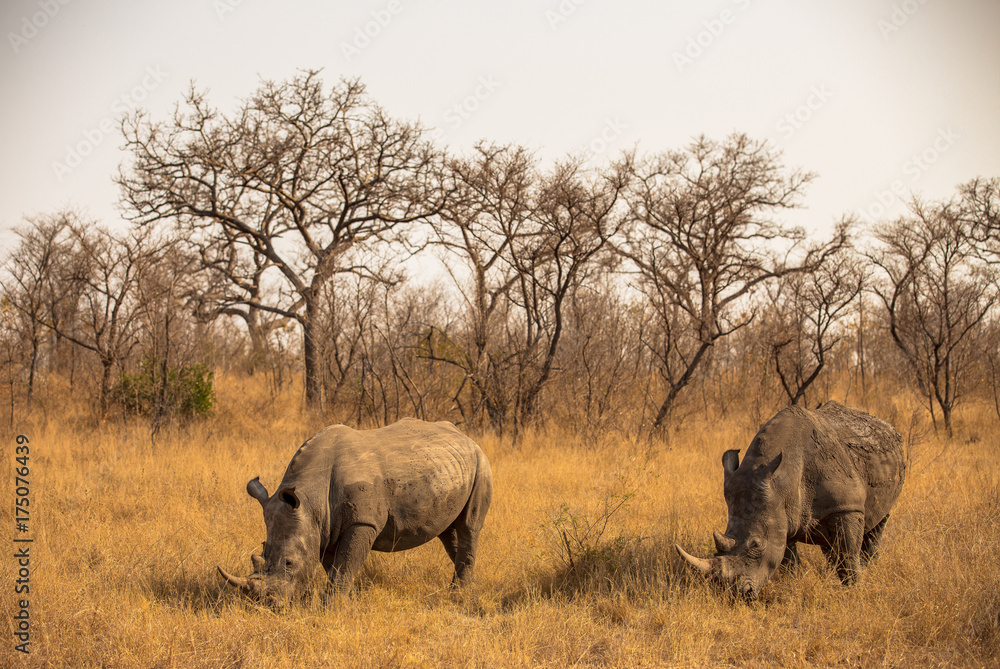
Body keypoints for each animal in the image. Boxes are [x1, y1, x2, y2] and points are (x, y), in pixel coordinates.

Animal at [218, 418, 493, 604]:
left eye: (289, 562)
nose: (269, 604)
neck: (310, 499)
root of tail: (467, 437)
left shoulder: (362, 522)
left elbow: (346, 562)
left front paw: (331, 605)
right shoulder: (323, 527)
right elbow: (335, 565)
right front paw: (347, 600)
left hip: (481, 464)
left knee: (469, 526)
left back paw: (458, 593)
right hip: (448, 467)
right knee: (448, 531)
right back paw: (471, 583)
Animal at [676, 401, 906, 599]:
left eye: (756, 545)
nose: (738, 594)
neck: (783, 480)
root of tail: (887, 426)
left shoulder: (846, 507)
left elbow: (847, 553)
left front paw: (853, 589)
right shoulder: (780, 513)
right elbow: (788, 560)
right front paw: (795, 583)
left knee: (879, 523)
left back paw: (869, 568)